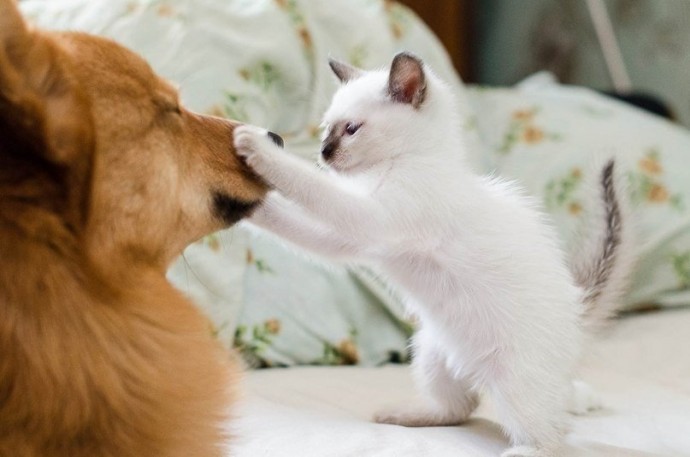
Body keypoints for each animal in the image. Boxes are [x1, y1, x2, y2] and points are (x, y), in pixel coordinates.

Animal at [234, 51, 632, 454]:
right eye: (325, 129)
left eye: (351, 130)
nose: (324, 153)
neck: (401, 165)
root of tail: (578, 307)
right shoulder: (349, 240)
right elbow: (293, 220)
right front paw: (245, 206)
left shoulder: (365, 219)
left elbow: (307, 183)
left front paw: (257, 149)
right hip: (430, 353)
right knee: (460, 408)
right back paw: (405, 414)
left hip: (516, 384)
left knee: (552, 434)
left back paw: (523, 448)